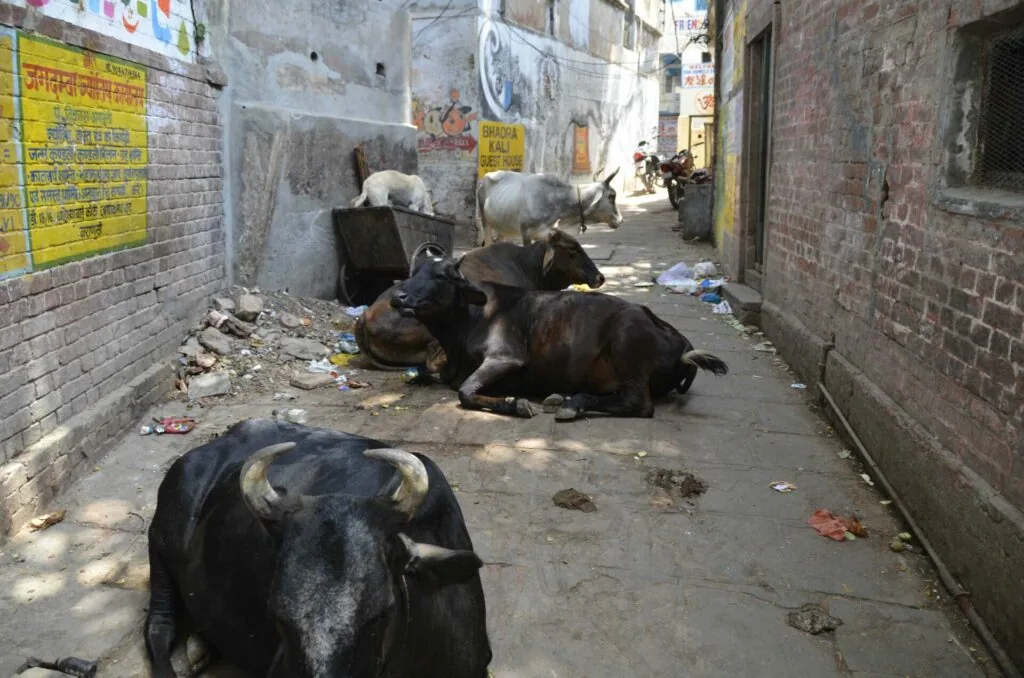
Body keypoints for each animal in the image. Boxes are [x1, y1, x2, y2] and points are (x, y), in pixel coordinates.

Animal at [390, 258, 728, 421]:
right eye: (413, 272)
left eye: (441, 276)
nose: (398, 296)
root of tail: (682, 342)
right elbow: (429, 374)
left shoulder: (506, 356)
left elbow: (465, 392)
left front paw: (515, 404)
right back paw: (563, 398)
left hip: (627, 340)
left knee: (639, 405)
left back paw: (571, 404)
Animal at [476, 169, 624, 246]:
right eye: (612, 196)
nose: (620, 220)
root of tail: (485, 177)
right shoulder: (526, 233)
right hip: (485, 221)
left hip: (502, 226)